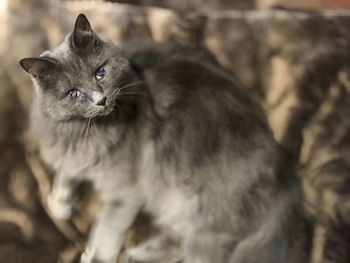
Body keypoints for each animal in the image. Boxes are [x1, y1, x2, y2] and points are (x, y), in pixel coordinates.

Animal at [19, 13, 300, 263]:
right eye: (73, 93)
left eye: (100, 72)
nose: (101, 100)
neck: (84, 131)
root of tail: (281, 166)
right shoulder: (71, 154)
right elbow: (67, 172)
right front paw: (60, 203)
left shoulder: (124, 189)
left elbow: (107, 229)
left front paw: (96, 256)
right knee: (178, 241)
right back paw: (136, 256)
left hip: (203, 209)